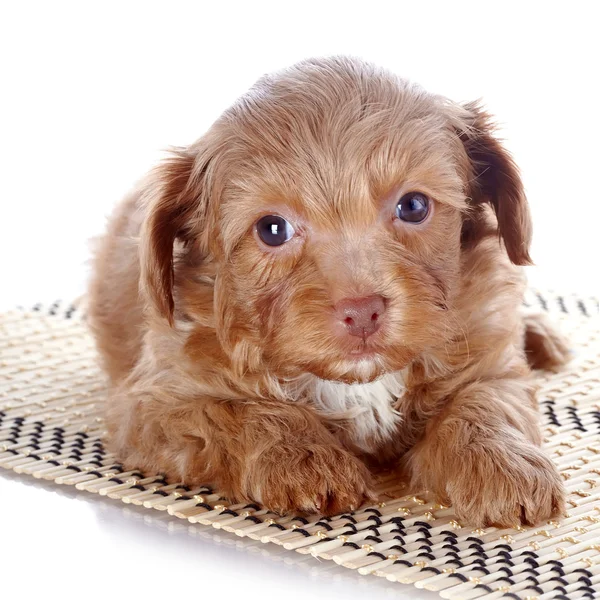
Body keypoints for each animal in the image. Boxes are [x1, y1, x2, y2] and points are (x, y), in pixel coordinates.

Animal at [88, 56, 568, 524]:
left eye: (413, 206)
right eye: (272, 229)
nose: (363, 311)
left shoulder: (488, 346)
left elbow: (485, 398)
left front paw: (504, 464)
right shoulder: (156, 403)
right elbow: (237, 411)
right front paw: (305, 459)